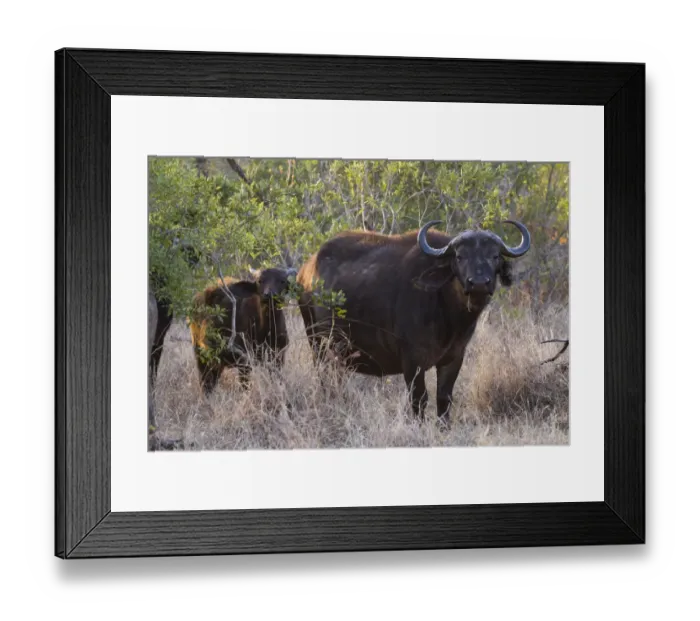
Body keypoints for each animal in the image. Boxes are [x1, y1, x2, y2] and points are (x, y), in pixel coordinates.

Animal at [297, 220, 531, 425]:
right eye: (460, 256)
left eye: (494, 256)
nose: (479, 284)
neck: (448, 314)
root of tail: (305, 272)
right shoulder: (411, 360)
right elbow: (419, 398)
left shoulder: (454, 357)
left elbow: (444, 397)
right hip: (317, 344)